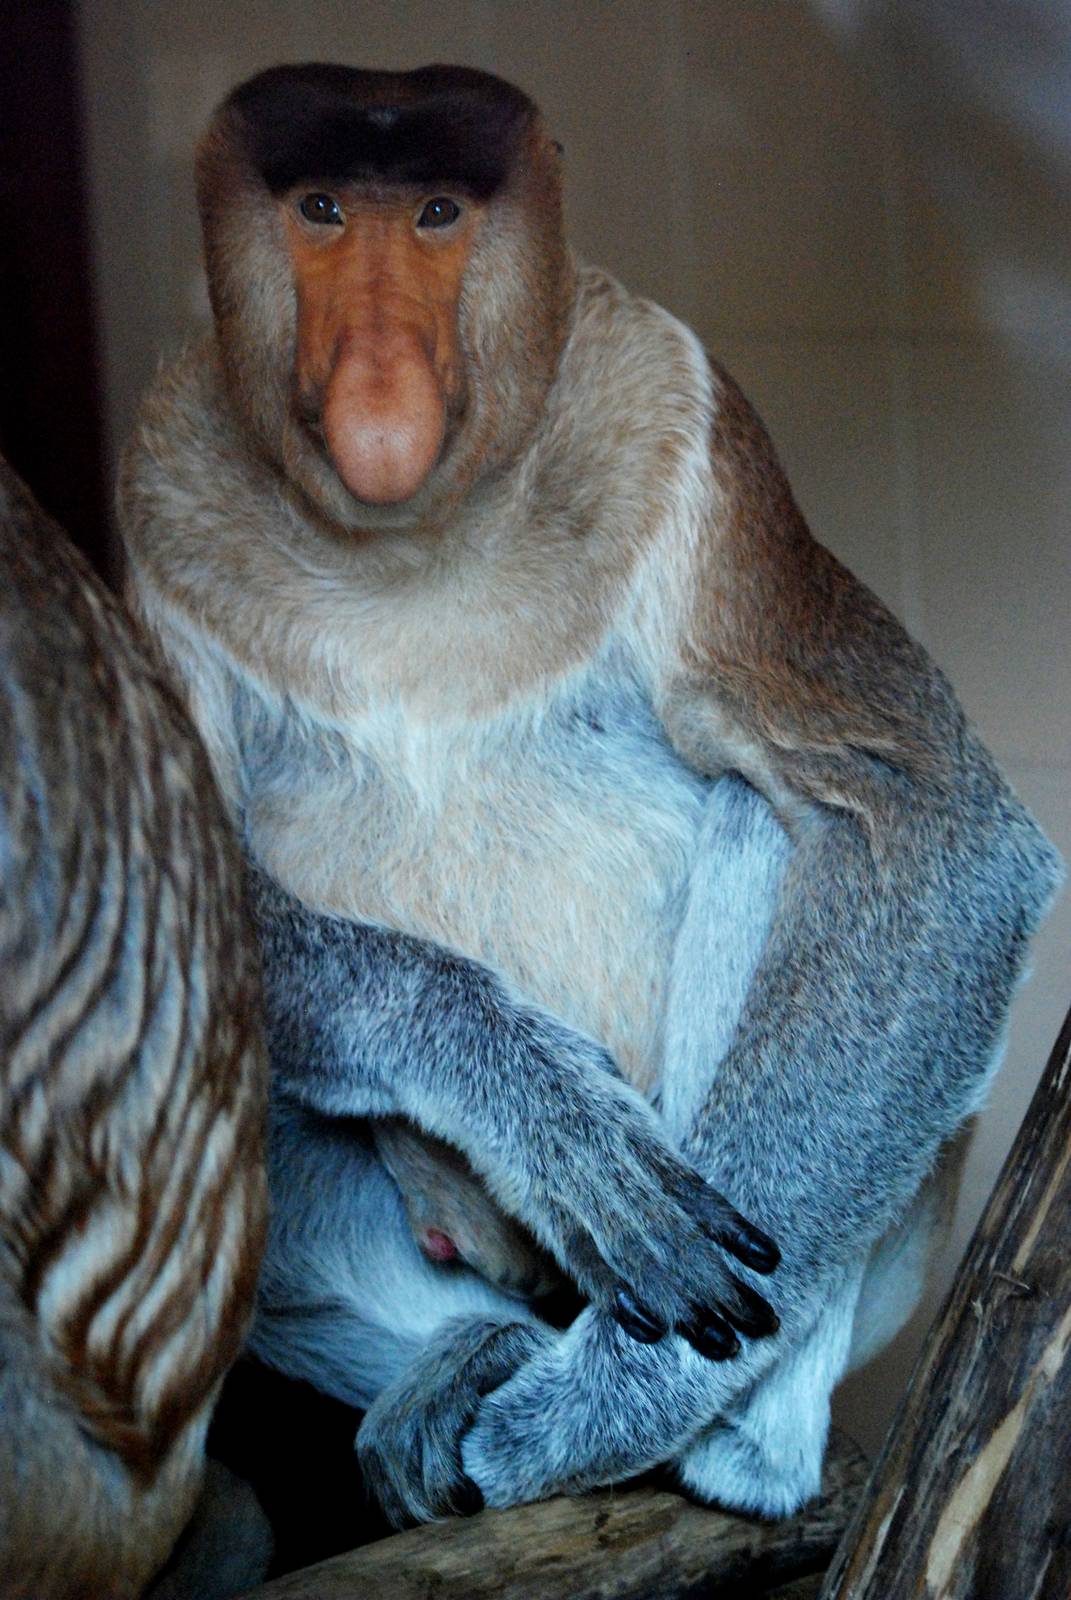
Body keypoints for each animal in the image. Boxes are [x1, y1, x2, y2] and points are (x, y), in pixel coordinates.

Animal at [117, 62, 1061, 1530]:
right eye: (322, 210)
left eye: (436, 215)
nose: (378, 379)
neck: (407, 539)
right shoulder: (161, 487)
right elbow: (166, 894)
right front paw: (548, 1123)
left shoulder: (684, 413)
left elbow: (917, 820)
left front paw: (592, 1411)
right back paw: (466, 1352)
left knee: (773, 819)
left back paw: (723, 1439)